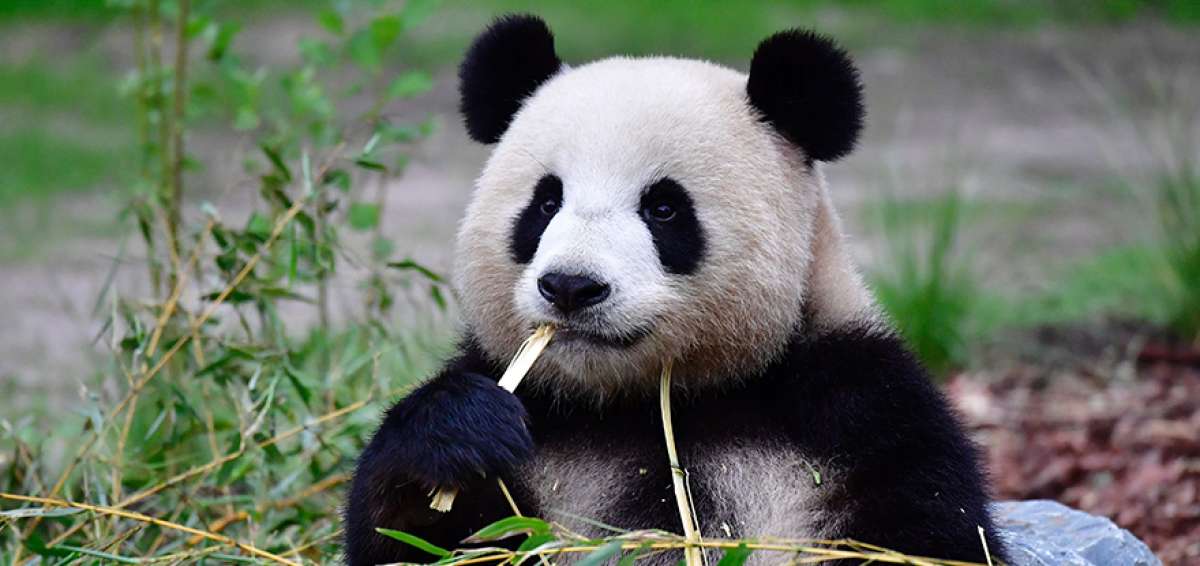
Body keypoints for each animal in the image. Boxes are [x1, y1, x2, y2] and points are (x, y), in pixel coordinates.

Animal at [345, 14, 1006, 565]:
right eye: (546, 202)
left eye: (663, 208)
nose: (571, 286)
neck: (647, 401)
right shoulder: (535, 421)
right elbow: (422, 540)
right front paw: (457, 431)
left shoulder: (859, 414)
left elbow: (932, 533)